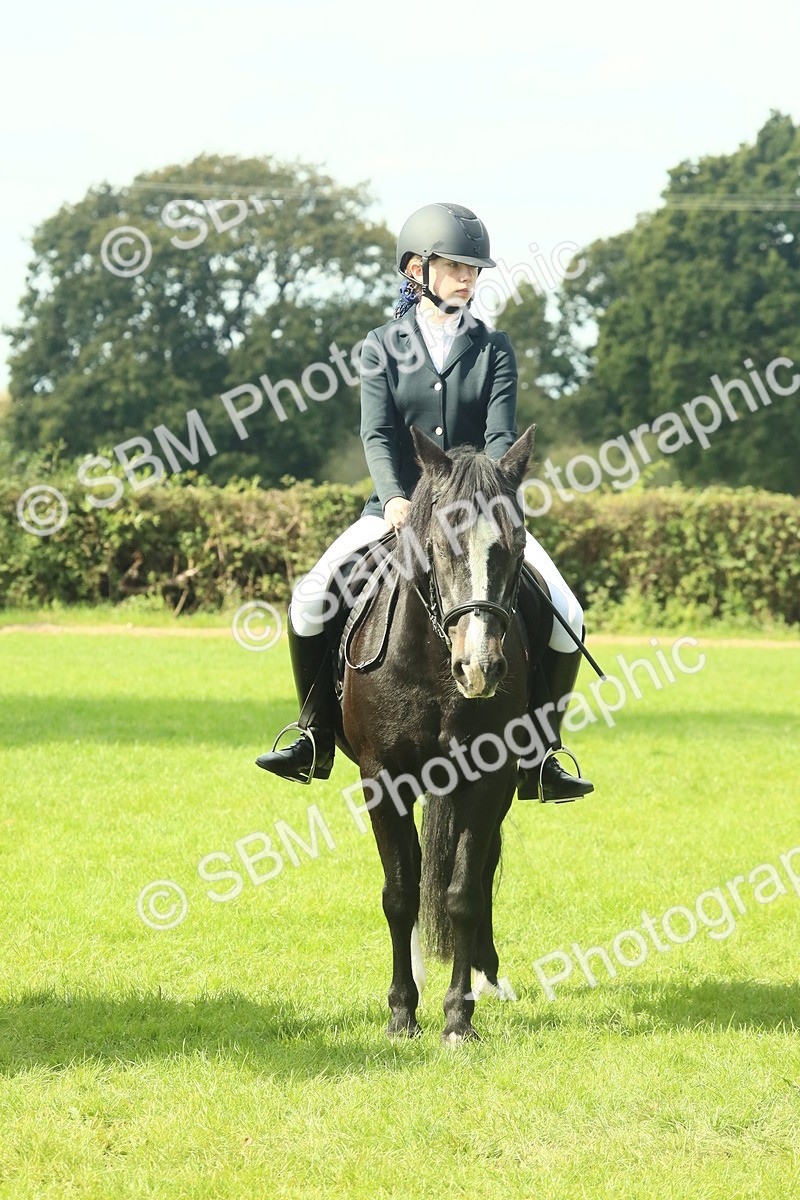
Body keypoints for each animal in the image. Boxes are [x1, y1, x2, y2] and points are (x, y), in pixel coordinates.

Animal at [337, 424, 550, 1042]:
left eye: (518, 542)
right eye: (437, 544)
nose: (479, 668)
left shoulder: (487, 777)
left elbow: (462, 893)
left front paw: (458, 1016)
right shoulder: (382, 778)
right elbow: (400, 893)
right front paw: (402, 1010)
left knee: (480, 869)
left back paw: (487, 976)